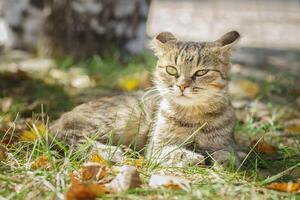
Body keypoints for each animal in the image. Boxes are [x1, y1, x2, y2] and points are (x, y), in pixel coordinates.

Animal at [49, 30, 244, 167]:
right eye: (171, 70)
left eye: (201, 72)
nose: (182, 85)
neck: (193, 116)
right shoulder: (156, 147)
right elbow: (175, 152)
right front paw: (193, 157)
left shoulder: (225, 142)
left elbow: (229, 153)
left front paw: (223, 160)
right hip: (118, 119)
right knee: (69, 137)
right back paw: (111, 152)